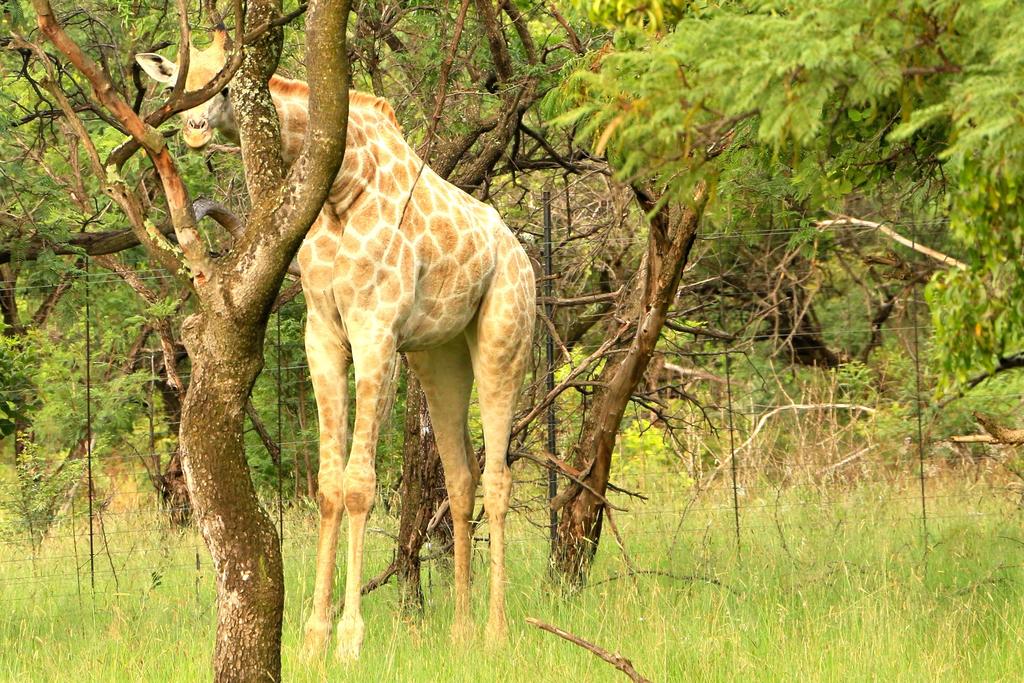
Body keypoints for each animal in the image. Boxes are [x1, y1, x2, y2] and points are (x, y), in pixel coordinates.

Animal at [137, 31, 535, 661]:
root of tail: (522, 255)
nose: (195, 129)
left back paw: (495, 632)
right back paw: (462, 632)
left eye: (226, 83)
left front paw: (349, 638)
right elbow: (327, 486)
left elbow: (359, 486)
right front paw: (313, 637)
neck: (343, 189)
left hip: (504, 338)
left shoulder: (376, 330)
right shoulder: (322, 332)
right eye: (180, 80)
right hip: (439, 356)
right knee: (461, 478)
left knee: (497, 479)